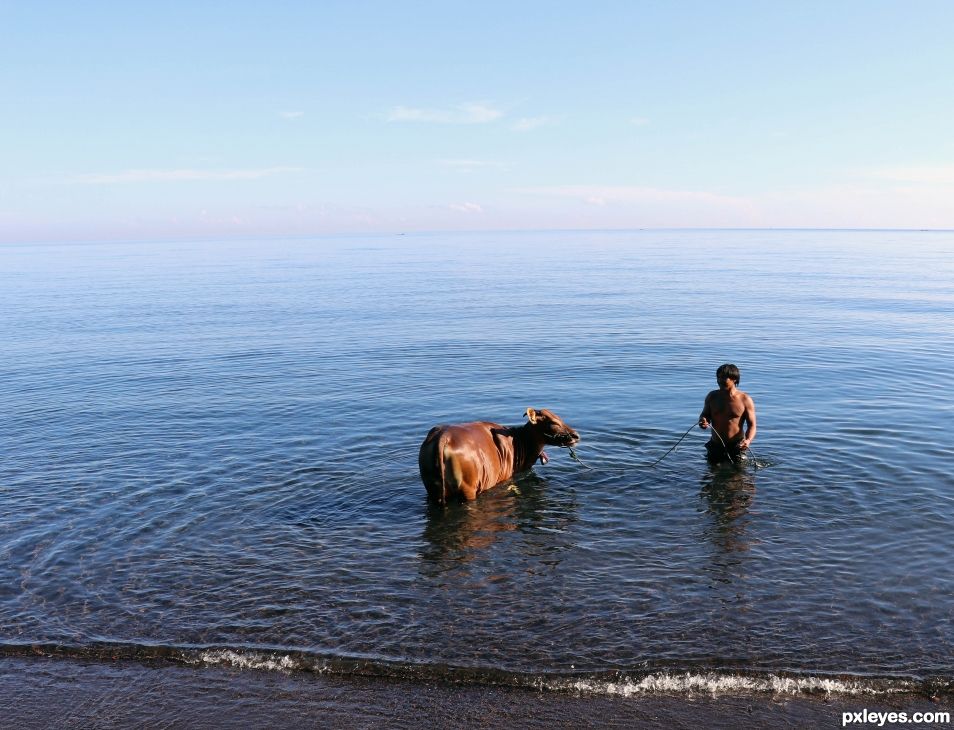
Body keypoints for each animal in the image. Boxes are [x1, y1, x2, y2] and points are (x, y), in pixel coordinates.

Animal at [418, 406, 580, 504]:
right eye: (554, 422)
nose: (576, 435)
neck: (520, 443)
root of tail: (443, 436)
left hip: (432, 488)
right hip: (468, 488)